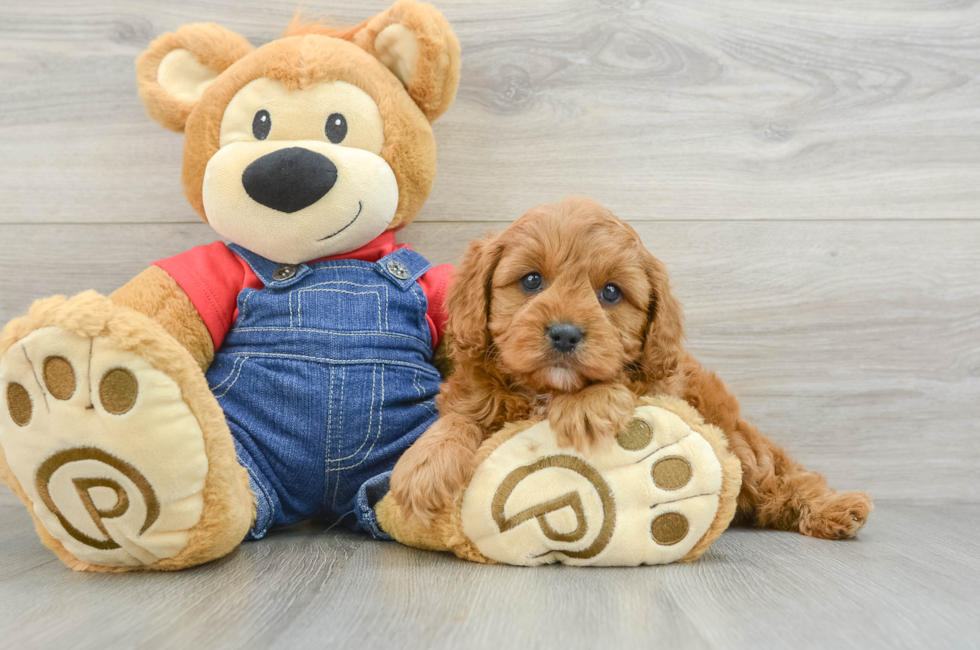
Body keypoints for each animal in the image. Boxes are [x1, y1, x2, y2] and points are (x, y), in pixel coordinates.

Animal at [390, 196, 872, 536]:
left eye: (611, 292)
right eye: (531, 280)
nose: (564, 334)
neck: (548, 390)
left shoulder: (663, 388)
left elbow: (622, 387)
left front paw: (586, 406)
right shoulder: (473, 394)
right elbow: (459, 419)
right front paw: (423, 468)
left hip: (739, 442)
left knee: (783, 478)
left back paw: (836, 509)